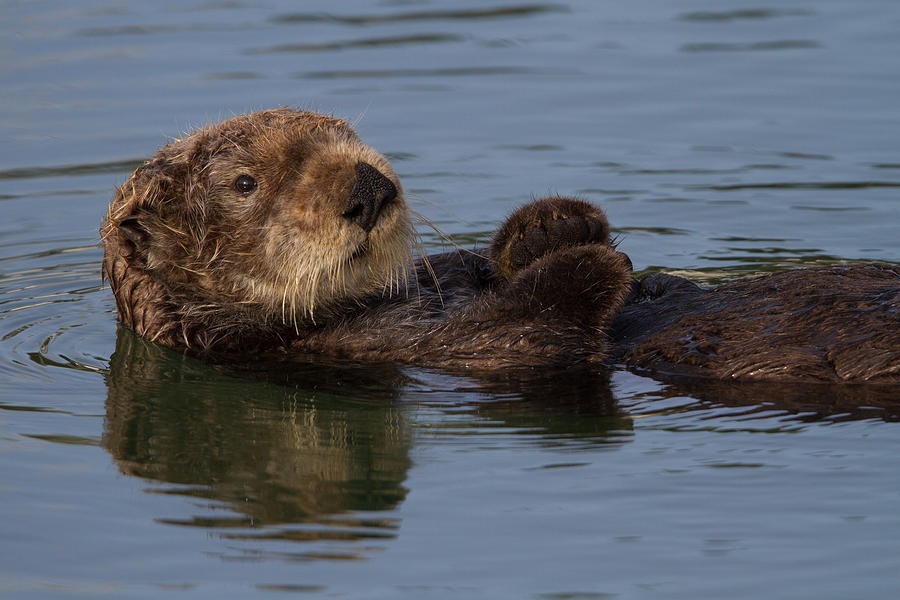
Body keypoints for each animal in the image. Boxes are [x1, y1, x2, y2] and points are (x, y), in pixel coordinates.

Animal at [103, 107, 900, 382]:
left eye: (346, 133)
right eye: (245, 183)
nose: (369, 184)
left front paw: (553, 226)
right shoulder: (358, 352)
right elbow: (528, 331)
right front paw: (594, 259)